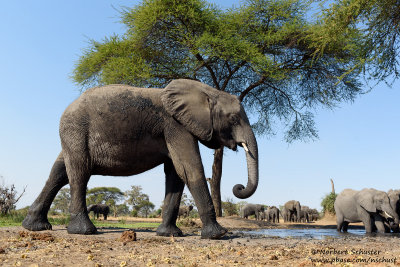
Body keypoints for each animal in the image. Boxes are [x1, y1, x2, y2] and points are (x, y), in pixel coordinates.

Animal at [21, 79, 260, 241]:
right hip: (76, 131)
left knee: (59, 172)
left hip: (72, 135)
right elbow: (189, 169)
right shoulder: (176, 126)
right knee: (79, 172)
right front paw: (218, 235)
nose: (238, 187)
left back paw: (35, 227)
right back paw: (84, 231)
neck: (207, 91)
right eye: (233, 118)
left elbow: (176, 174)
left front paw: (169, 234)